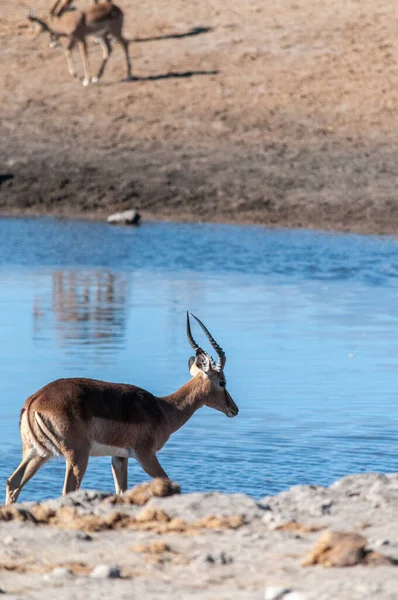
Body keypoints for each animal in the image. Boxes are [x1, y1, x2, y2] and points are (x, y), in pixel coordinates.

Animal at [6, 314, 238, 506]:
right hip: (77, 457)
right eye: (222, 382)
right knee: (66, 491)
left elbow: (121, 491)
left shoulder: (119, 457)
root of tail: (34, 401)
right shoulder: (146, 455)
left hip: (37, 452)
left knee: (13, 483)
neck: (164, 409)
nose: (234, 409)